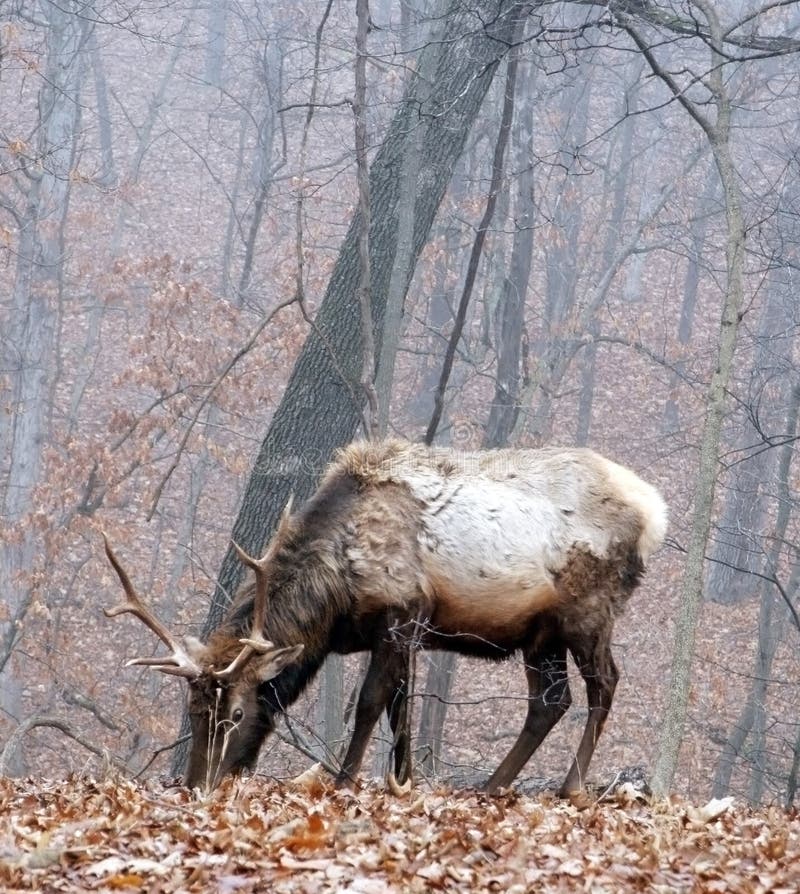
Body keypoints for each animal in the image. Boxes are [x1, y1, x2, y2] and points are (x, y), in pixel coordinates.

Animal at [103, 440, 664, 800]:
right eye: (194, 710)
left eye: (237, 713)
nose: (198, 785)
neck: (335, 599)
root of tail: (654, 513)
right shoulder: (407, 633)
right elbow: (401, 707)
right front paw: (403, 781)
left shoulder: (402, 613)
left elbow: (372, 702)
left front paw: (345, 781)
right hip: (540, 632)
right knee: (550, 700)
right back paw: (492, 785)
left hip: (588, 611)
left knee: (604, 683)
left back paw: (571, 787)